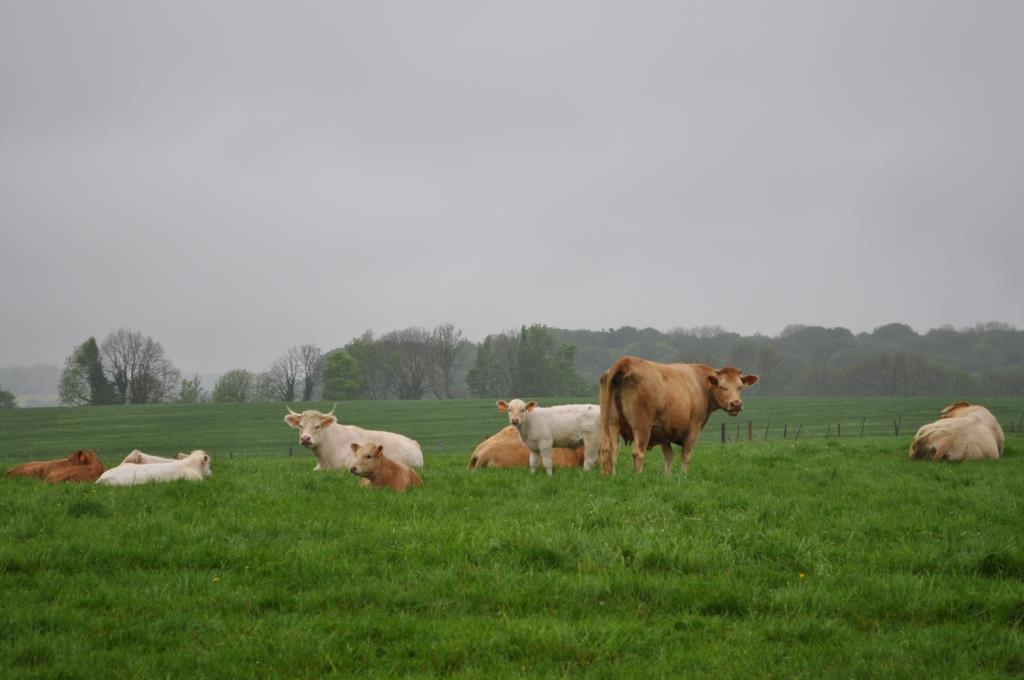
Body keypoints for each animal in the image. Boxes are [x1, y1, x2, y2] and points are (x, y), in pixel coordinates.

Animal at [598, 358, 757, 475]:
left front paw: (667, 478)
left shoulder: (663, 432)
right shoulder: (693, 428)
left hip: (611, 422)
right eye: (722, 387)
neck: (700, 384)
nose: (736, 404)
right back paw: (638, 477)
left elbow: (668, 456)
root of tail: (627, 361)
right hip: (641, 426)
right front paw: (683, 476)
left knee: (611, 451)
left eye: (740, 387)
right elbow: (685, 455)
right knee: (638, 453)